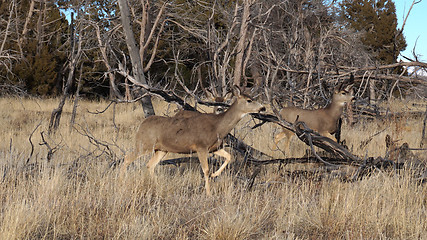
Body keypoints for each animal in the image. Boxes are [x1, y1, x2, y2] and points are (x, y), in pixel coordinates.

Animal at [120, 86, 266, 195]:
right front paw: (208, 193)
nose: (263, 108)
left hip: (161, 149)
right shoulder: (201, 146)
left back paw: (157, 186)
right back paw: (123, 181)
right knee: (127, 158)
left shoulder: (214, 148)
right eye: (249, 100)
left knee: (150, 165)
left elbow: (229, 157)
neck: (218, 127)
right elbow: (205, 170)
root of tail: (141, 125)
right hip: (144, 144)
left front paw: (214, 175)